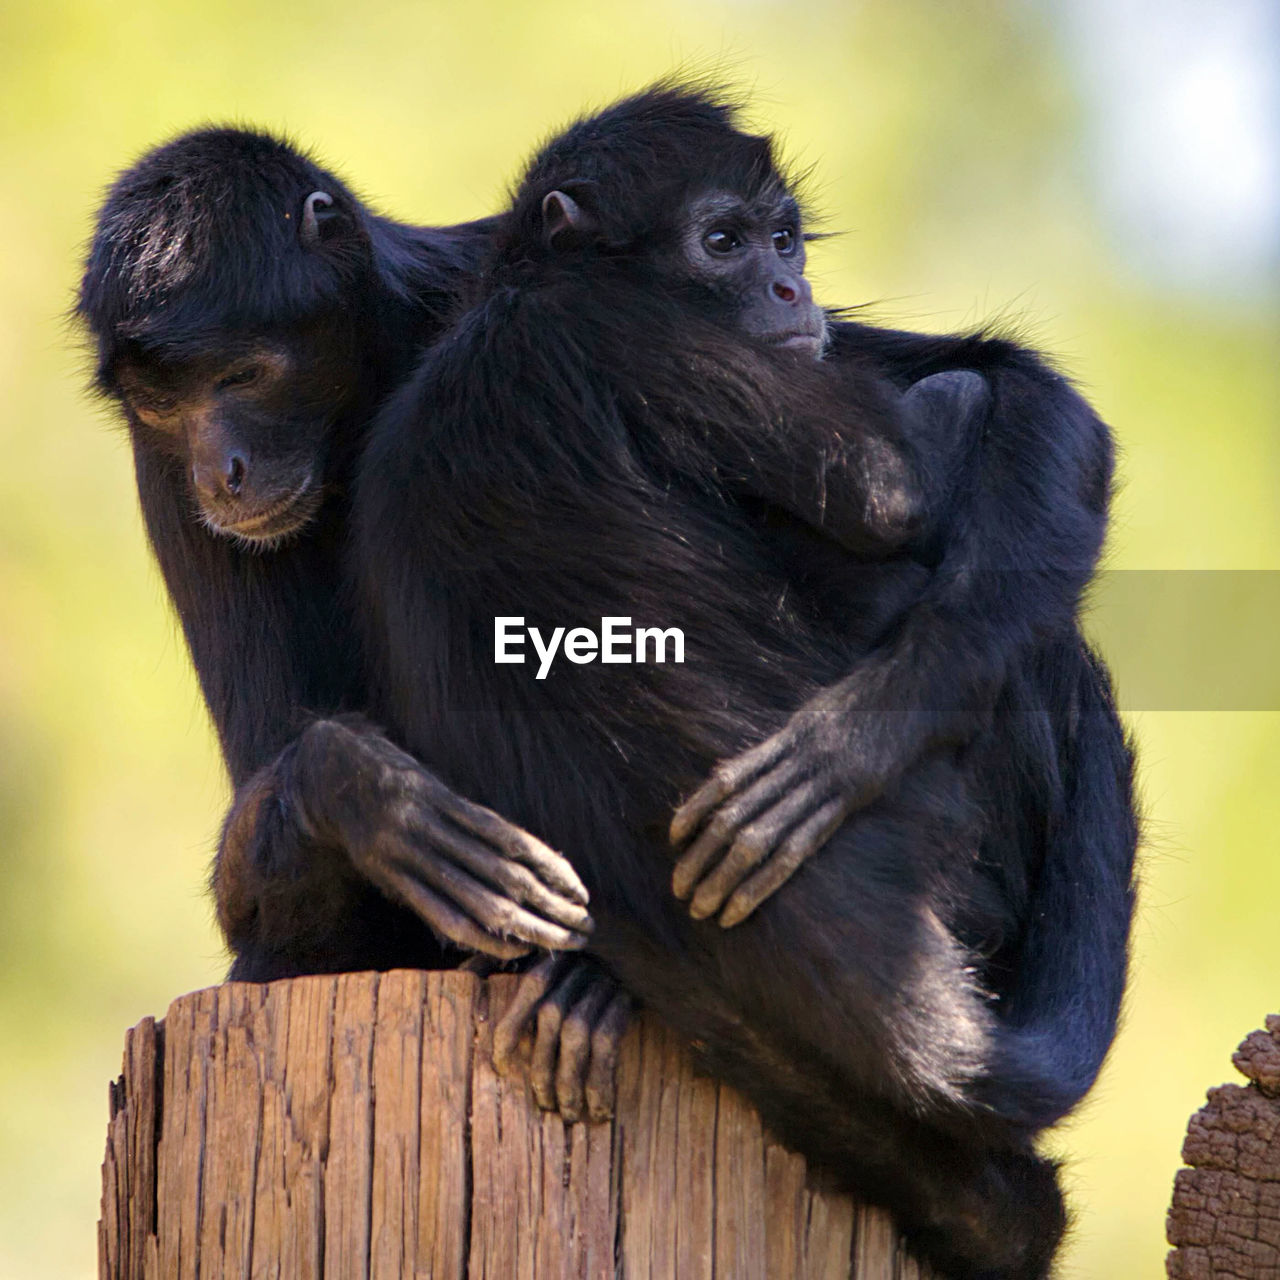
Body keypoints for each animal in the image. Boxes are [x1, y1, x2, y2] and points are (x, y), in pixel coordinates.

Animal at [345, 82, 1136, 1280]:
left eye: (785, 239)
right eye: (723, 243)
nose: (788, 288)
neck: (520, 300)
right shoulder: (630, 330)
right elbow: (901, 487)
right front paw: (854, 740)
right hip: (973, 877)